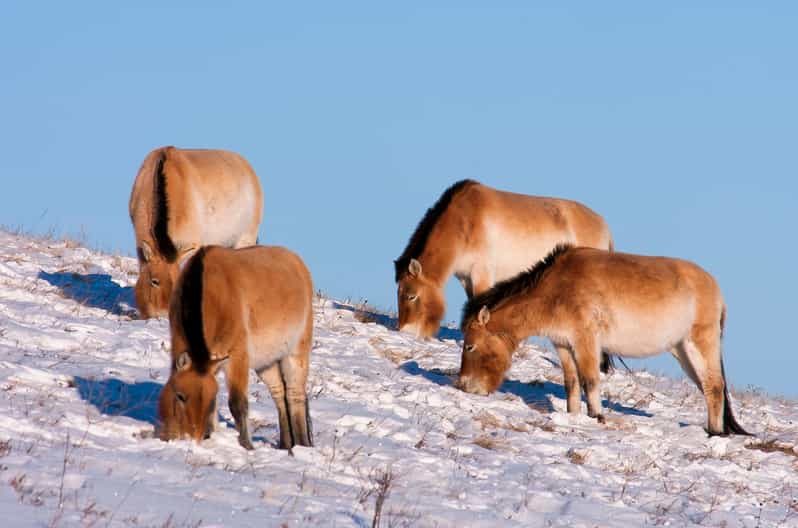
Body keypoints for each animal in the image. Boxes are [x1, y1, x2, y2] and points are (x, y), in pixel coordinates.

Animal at [157, 245, 314, 450]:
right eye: (180, 396)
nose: (193, 437)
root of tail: (296, 260)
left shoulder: (237, 358)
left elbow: (238, 404)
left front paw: (246, 445)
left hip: (296, 353)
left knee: (295, 395)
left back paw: (302, 445)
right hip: (266, 362)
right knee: (279, 393)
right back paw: (286, 445)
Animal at [394, 180, 615, 371]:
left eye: (411, 296)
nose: (405, 332)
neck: (465, 222)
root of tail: (603, 224)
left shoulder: (481, 274)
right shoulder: (466, 279)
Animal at [456, 245, 750, 436]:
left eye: (470, 345)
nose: (463, 386)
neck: (556, 289)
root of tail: (715, 288)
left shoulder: (586, 340)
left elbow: (590, 379)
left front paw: (596, 415)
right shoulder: (563, 344)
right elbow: (572, 382)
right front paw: (573, 414)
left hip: (699, 343)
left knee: (714, 386)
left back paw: (715, 433)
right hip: (682, 350)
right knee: (708, 387)